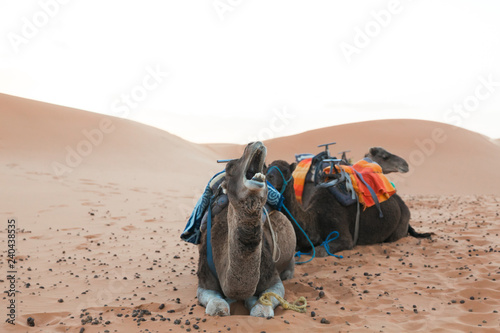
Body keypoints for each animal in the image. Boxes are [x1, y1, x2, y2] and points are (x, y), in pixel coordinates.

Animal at [196, 141, 296, 316]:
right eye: (229, 167)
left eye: (264, 168)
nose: (253, 143)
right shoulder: (204, 281)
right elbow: (216, 306)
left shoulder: (273, 278)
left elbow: (262, 308)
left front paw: (256, 304)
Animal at [266, 159, 434, 256]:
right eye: (267, 168)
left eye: (285, 170)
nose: (268, 177)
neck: (315, 217)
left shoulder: (344, 237)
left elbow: (320, 251)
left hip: (400, 227)